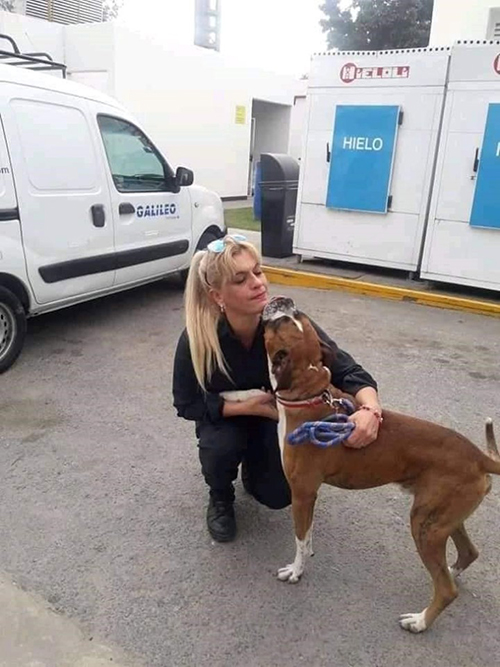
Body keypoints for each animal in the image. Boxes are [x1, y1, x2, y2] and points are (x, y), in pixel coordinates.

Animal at [260, 298, 498, 636]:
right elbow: (307, 532)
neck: (309, 395)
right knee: (468, 553)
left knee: (446, 590)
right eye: (295, 317)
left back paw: (420, 621)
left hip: (425, 526)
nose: (284, 301)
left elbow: (300, 538)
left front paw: (296, 570)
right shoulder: (309, 496)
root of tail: (480, 456)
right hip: (443, 518)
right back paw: (452, 570)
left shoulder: (302, 492)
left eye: (280, 322)